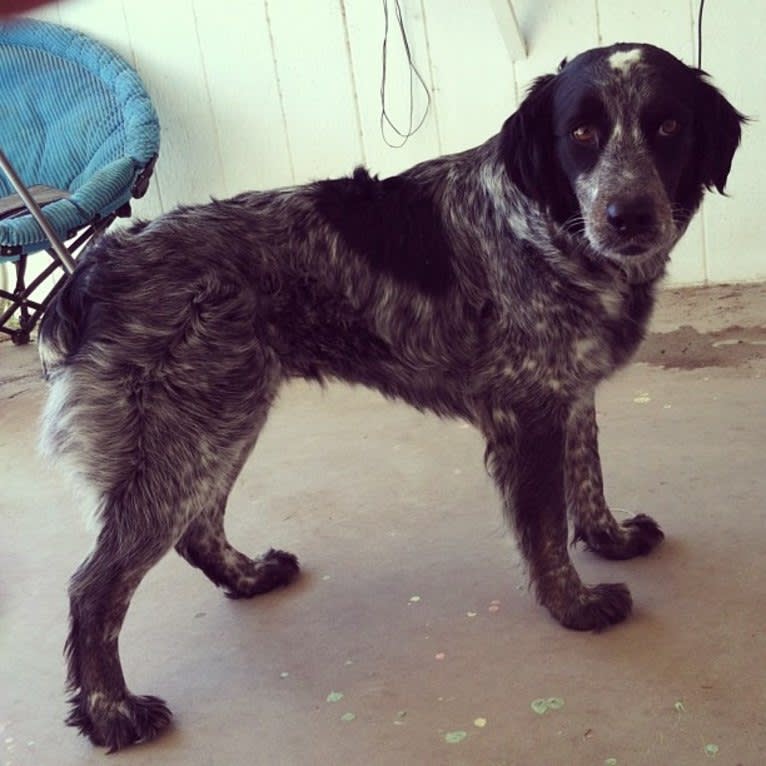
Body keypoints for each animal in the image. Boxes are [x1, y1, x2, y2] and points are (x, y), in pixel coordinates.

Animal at [37, 42, 744, 752]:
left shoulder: (569, 392)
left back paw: (249, 579)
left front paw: (610, 538)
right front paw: (575, 607)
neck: (549, 229)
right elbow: (546, 532)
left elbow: (588, 479)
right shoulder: (530, 412)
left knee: (197, 531)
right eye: (581, 133)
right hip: (191, 432)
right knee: (93, 588)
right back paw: (111, 713)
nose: (629, 217)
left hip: (219, 416)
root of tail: (94, 270)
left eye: (668, 126)